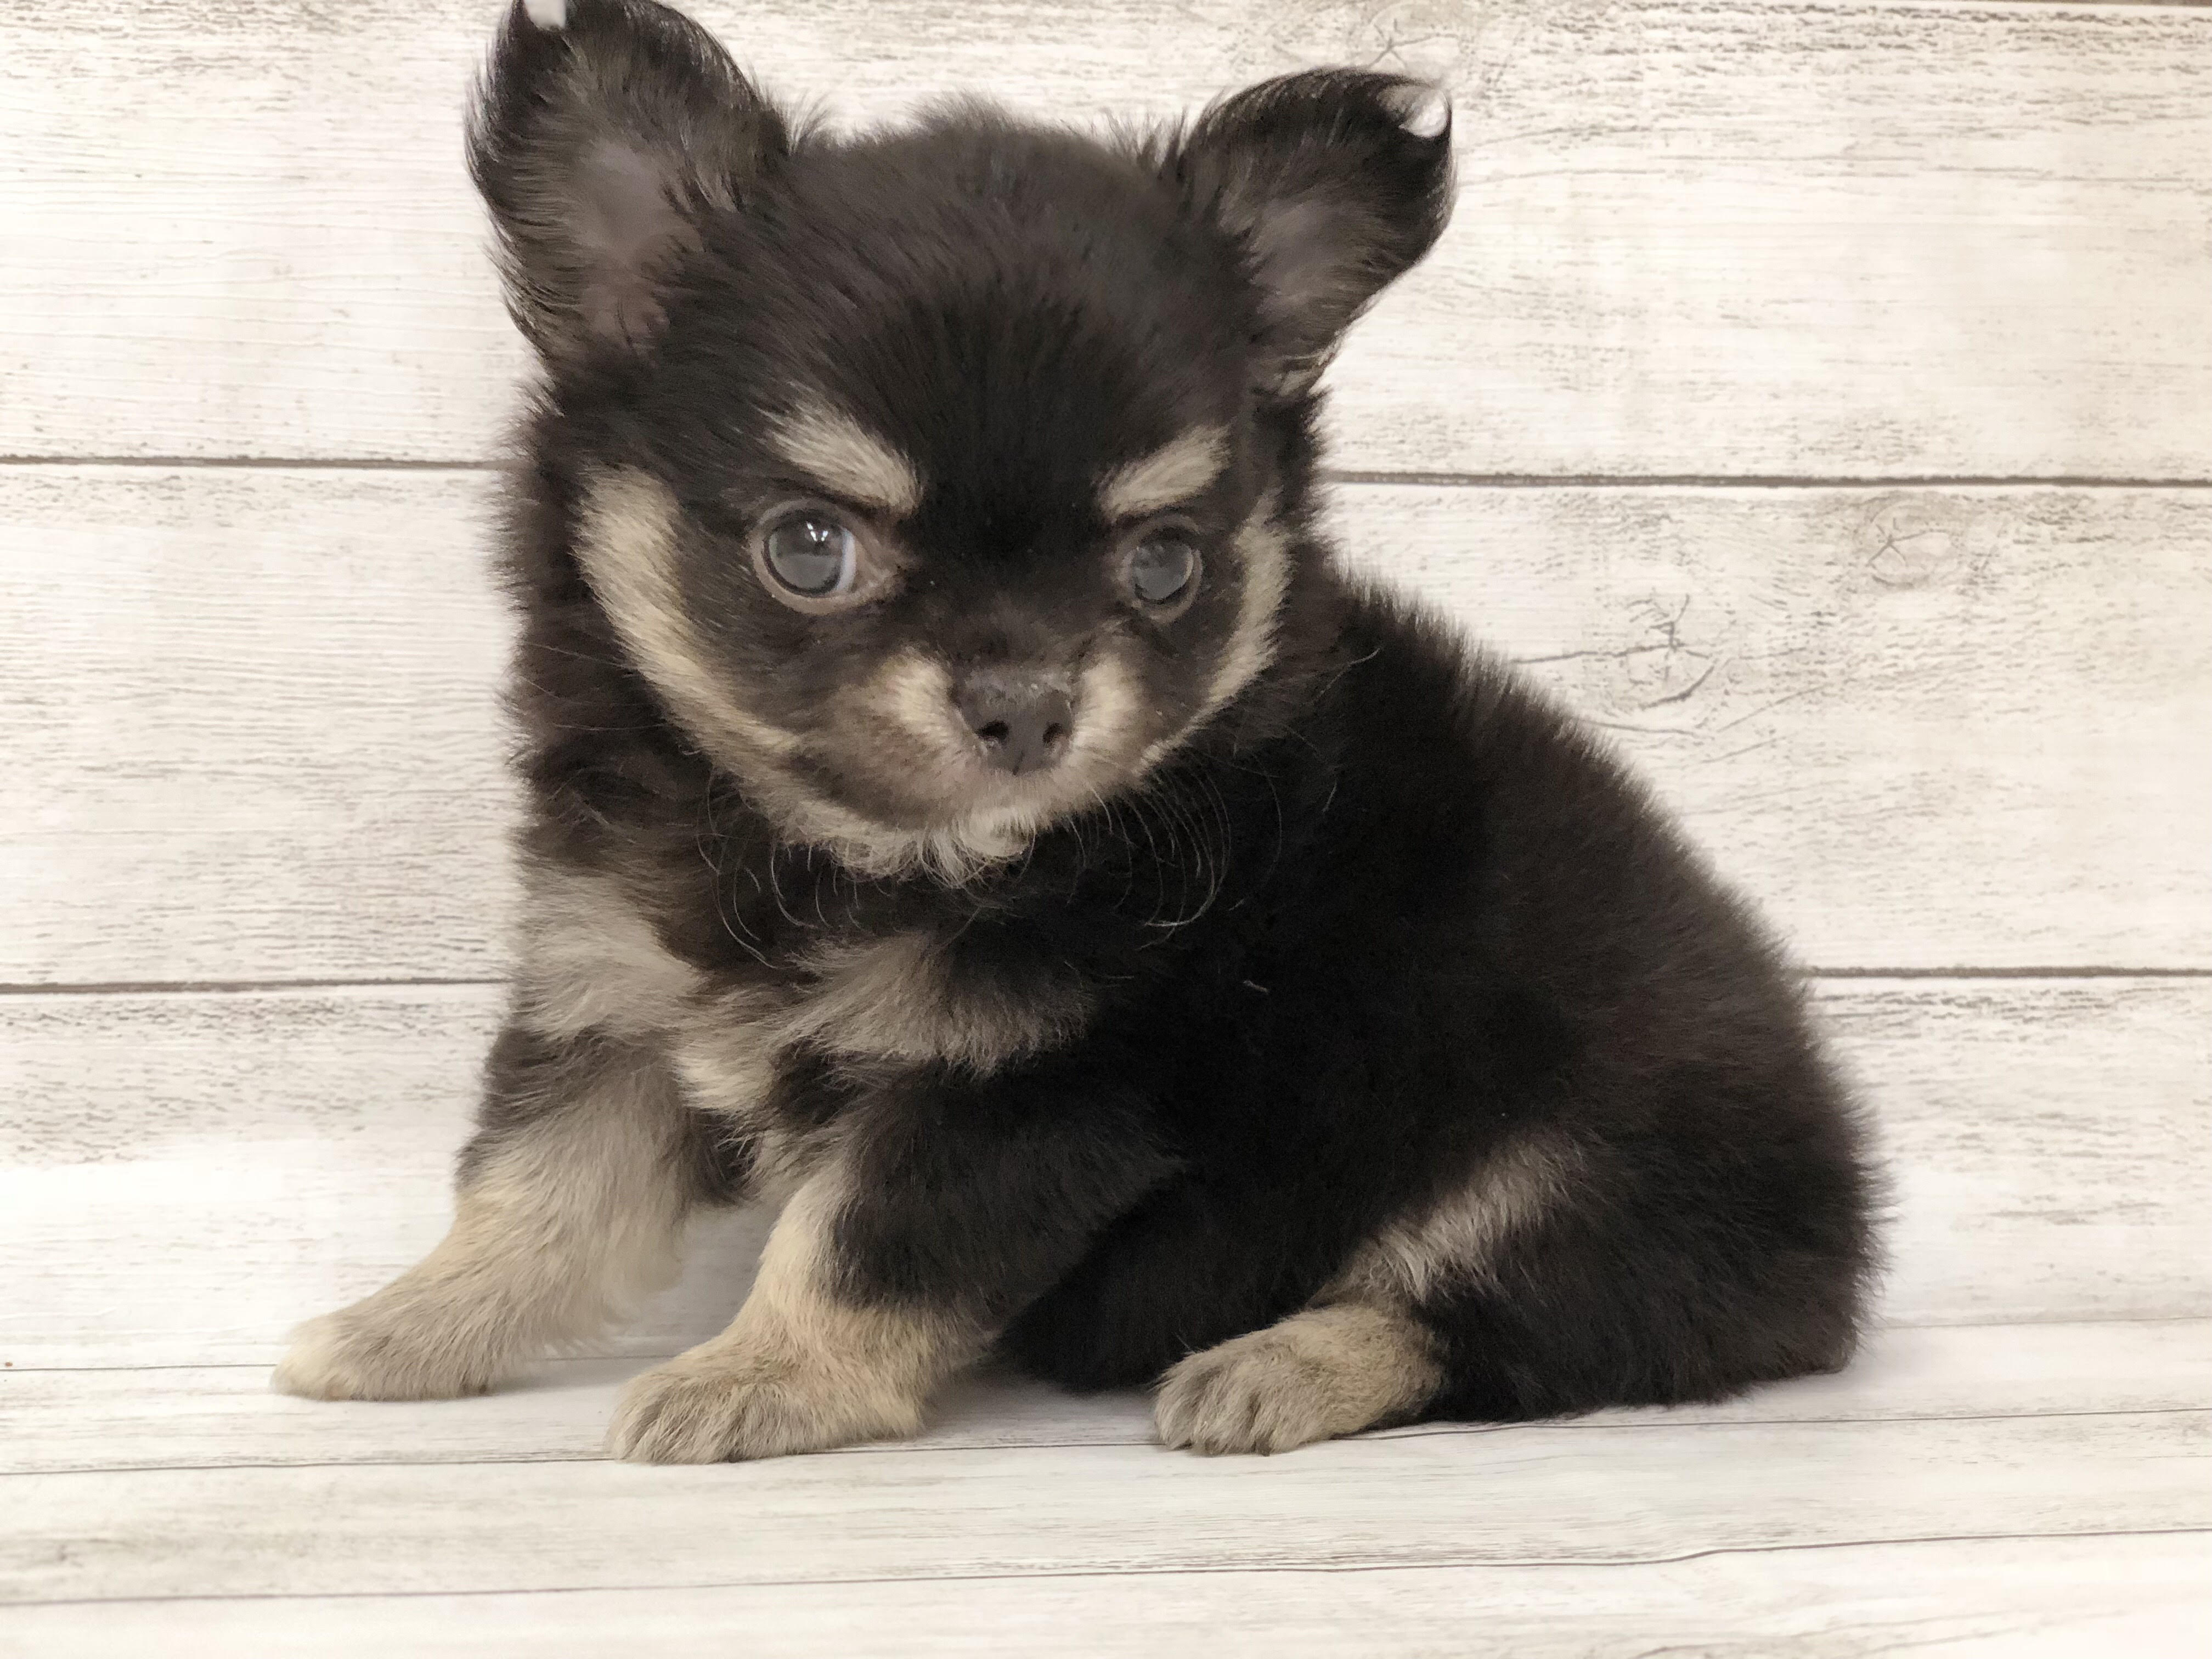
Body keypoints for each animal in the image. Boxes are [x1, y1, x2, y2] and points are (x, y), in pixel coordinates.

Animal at [274, 0, 1879, 1462]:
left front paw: (754, 1379)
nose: (1028, 704)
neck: (857, 859)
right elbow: (539, 1193)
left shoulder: (1032, 1087)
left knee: (1485, 1311)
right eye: (809, 549)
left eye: (1163, 565)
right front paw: (400, 1328)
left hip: (1595, 1168)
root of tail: (1844, 1230)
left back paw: (1276, 1368)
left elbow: (855, 1243)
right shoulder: (618, 1001)